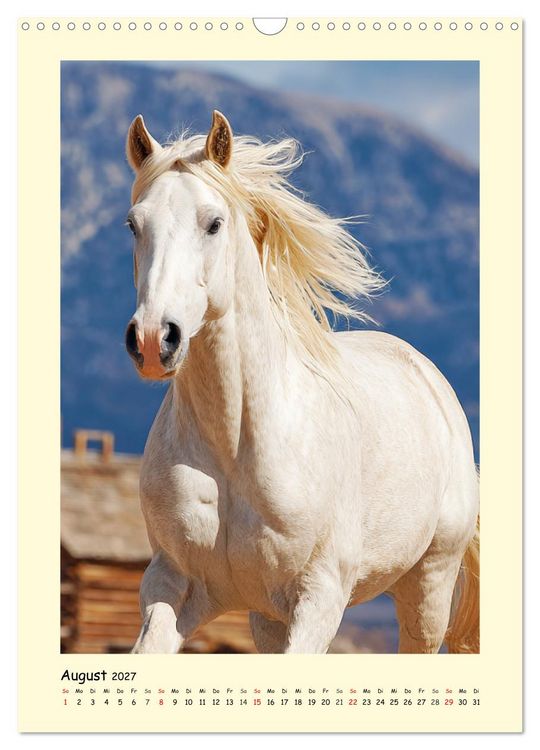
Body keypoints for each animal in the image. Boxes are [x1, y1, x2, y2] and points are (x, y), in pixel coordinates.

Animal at [123, 110, 479, 654]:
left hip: (429, 587)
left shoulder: (319, 597)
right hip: (268, 619)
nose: (151, 339)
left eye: (214, 223)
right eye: (133, 224)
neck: (235, 447)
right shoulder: (171, 585)